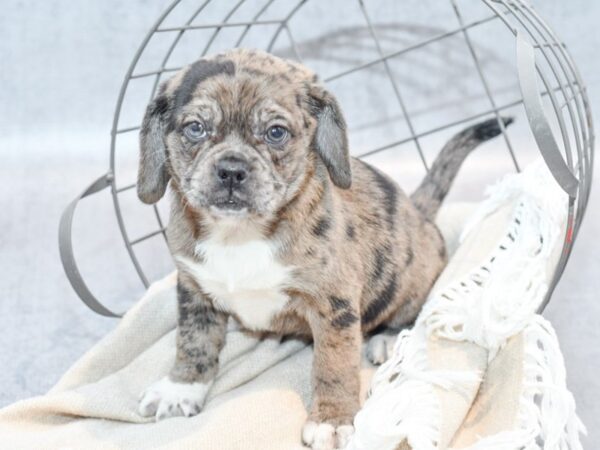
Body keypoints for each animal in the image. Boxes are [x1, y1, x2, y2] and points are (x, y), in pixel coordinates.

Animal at [136, 47, 510, 448]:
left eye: (276, 133)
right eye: (195, 128)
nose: (232, 171)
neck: (241, 234)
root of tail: (419, 211)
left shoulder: (334, 307)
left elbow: (333, 364)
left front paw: (332, 418)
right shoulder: (194, 291)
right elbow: (194, 341)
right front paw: (181, 387)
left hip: (408, 282)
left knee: (410, 312)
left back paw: (388, 339)